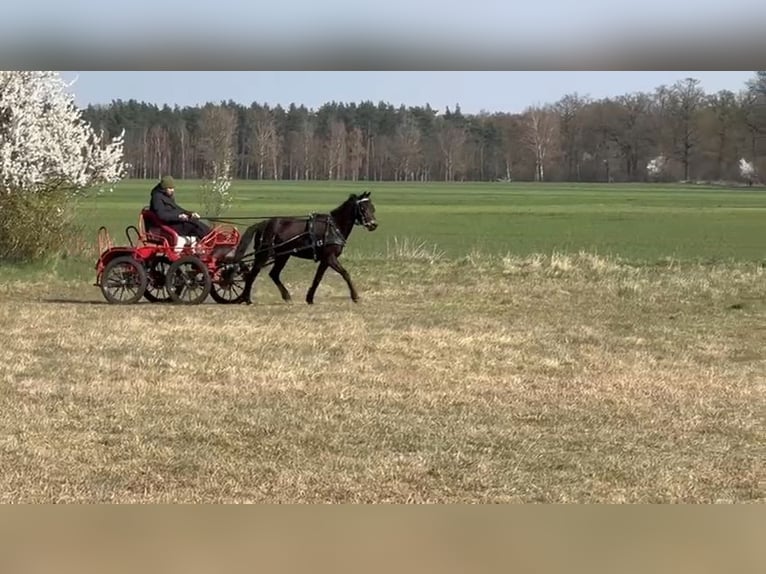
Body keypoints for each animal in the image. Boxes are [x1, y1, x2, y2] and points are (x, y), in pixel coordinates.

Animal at [232, 191, 378, 305]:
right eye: (363, 208)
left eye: (372, 208)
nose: (373, 224)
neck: (333, 227)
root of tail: (263, 223)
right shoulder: (330, 257)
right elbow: (345, 273)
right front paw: (355, 296)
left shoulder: (325, 260)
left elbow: (318, 278)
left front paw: (310, 298)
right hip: (264, 255)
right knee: (252, 274)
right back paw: (247, 299)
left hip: (283, 255)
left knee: (273, 274)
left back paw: (286, 297)